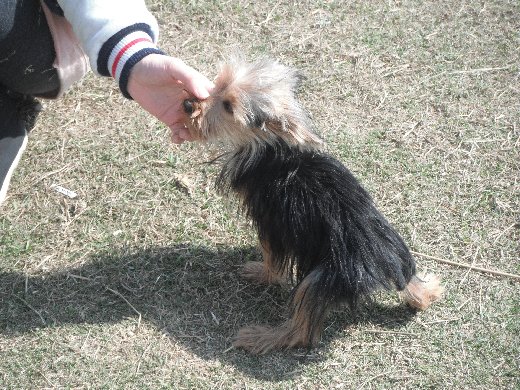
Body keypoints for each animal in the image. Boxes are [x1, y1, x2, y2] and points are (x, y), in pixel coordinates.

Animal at [183, 57, 442, 354]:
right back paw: (428, 291)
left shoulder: (271, 222)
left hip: (319, 280)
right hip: (395, 251)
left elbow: (272, 257)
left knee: (302, 331)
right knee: (415, 289)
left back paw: (263, 337)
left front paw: (263, 273)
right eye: (218, 85)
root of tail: (380, 260)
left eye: (228, 106)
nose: (188, 104)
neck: (274, 149)